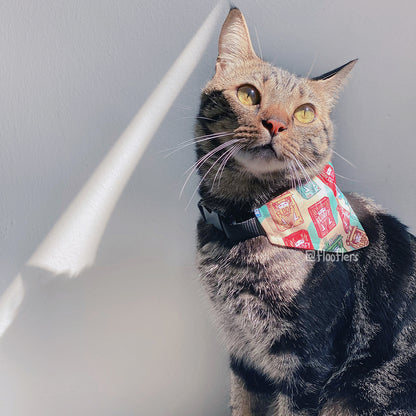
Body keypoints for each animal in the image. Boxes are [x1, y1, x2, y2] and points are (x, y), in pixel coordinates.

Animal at [194, 7, 416, 416]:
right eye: (248, 94)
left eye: (305, 113)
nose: (276, 123)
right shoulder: (241, 352)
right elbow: (241, 405)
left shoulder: (306, 362)